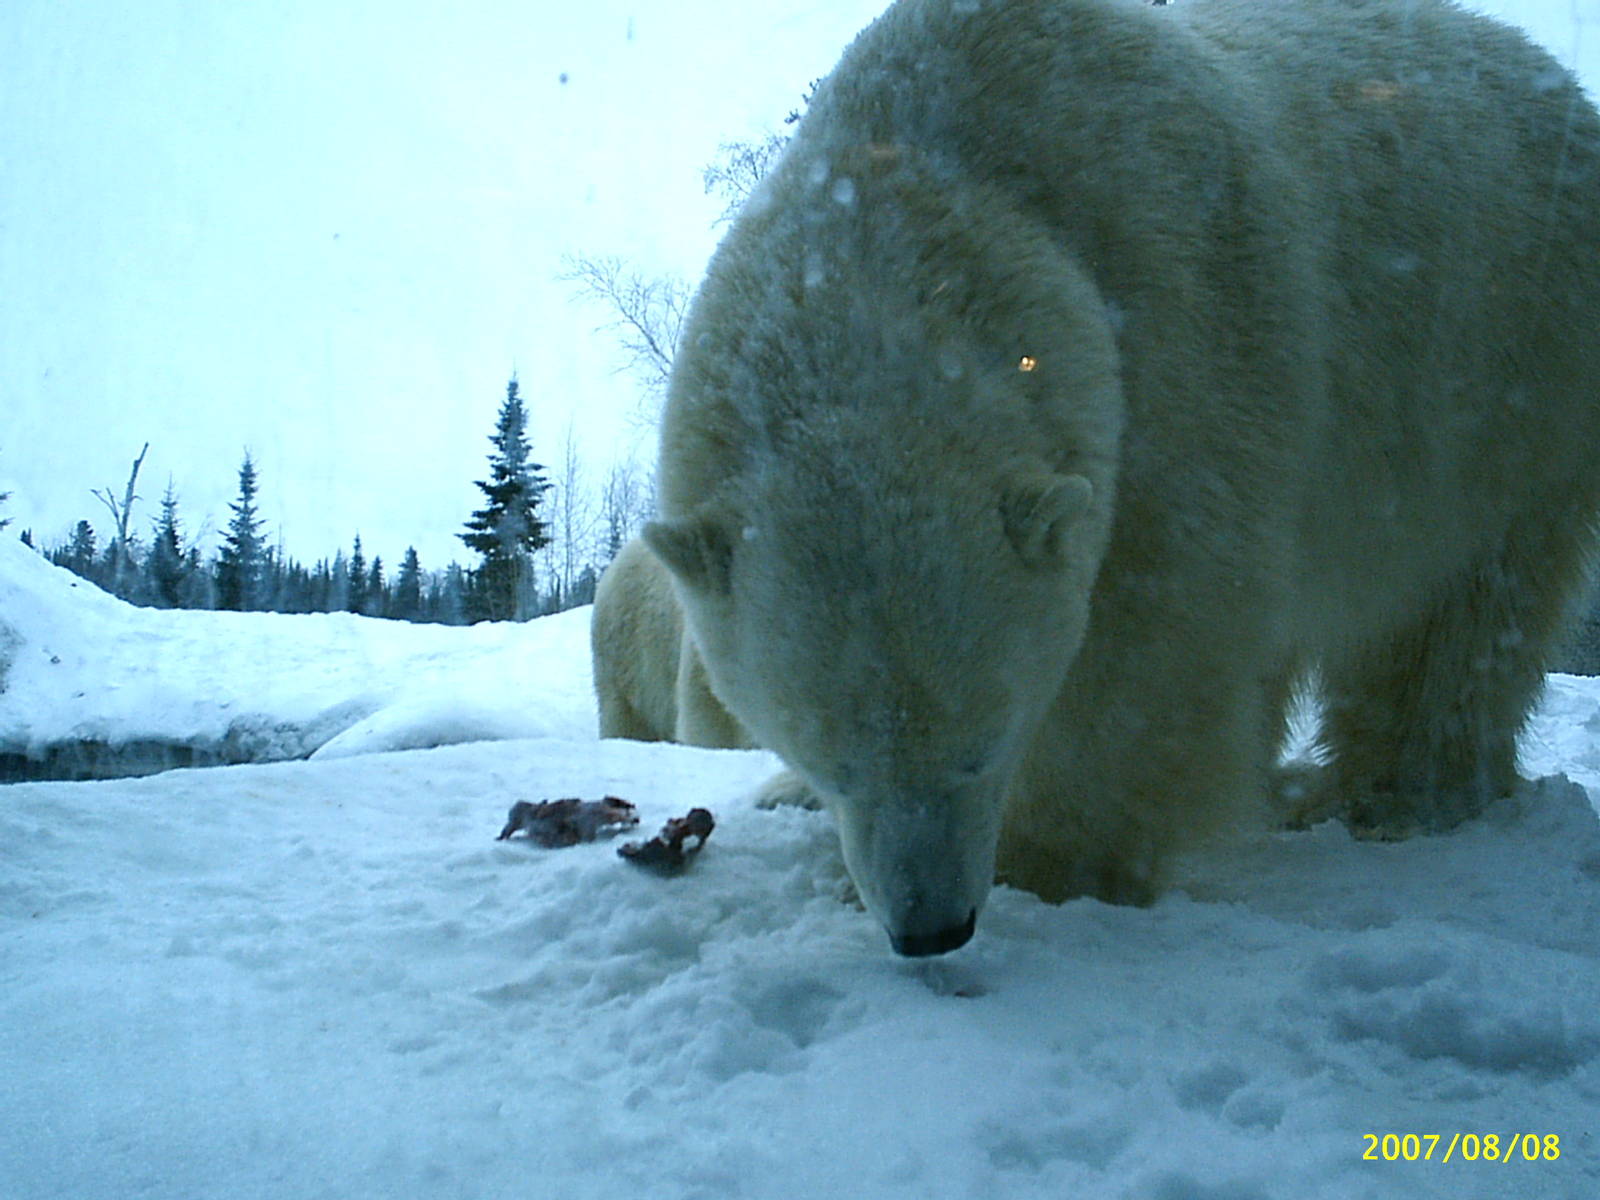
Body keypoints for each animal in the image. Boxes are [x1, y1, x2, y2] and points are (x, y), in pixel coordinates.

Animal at [642, 0, 1600, 956]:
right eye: (832, 761)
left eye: (985, 746)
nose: (931, 929)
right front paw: (789, 799)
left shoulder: (1179, 339)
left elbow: (1148, 648)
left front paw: (1049, 863)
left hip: (1514, 370)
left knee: (1463, 606)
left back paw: (1389, 793)